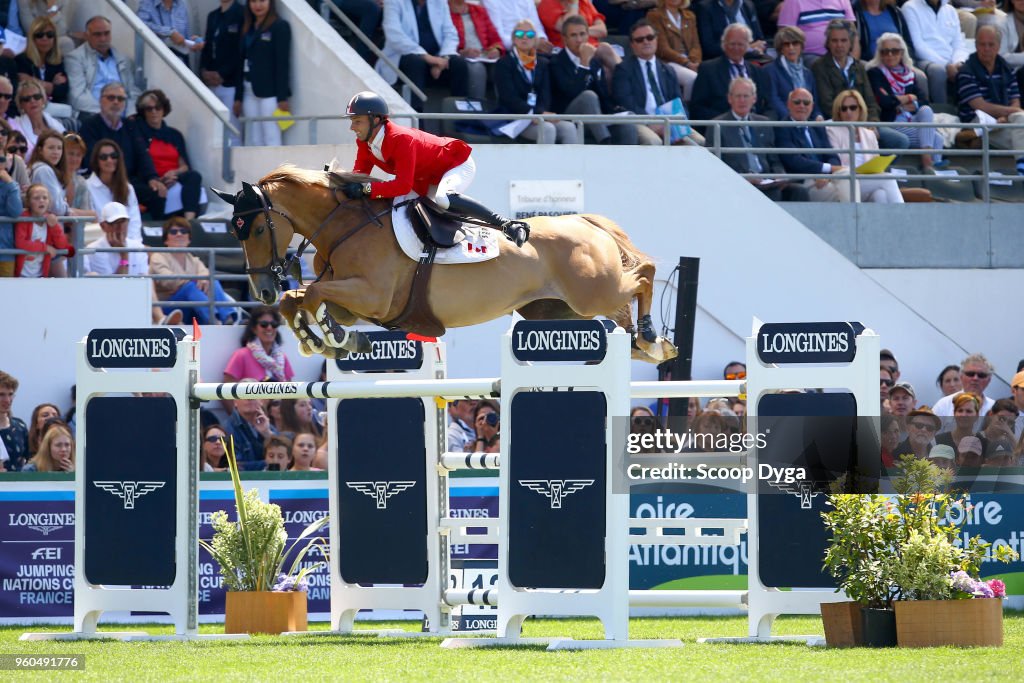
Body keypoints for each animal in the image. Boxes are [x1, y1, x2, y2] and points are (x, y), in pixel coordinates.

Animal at [214, 165, 679, 366]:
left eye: (258, 229)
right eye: (235, 233)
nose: (262, 290)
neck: (345, 225)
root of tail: (584, 221)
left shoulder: (373, 296)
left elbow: (311, 293)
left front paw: (331, 337)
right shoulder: (359, 303)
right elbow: (298, 300)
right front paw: (328, 339)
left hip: (592, 293)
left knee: (644, 275)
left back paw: (654, 336)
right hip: (554, 310)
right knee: (621, 313)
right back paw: (645, 345)